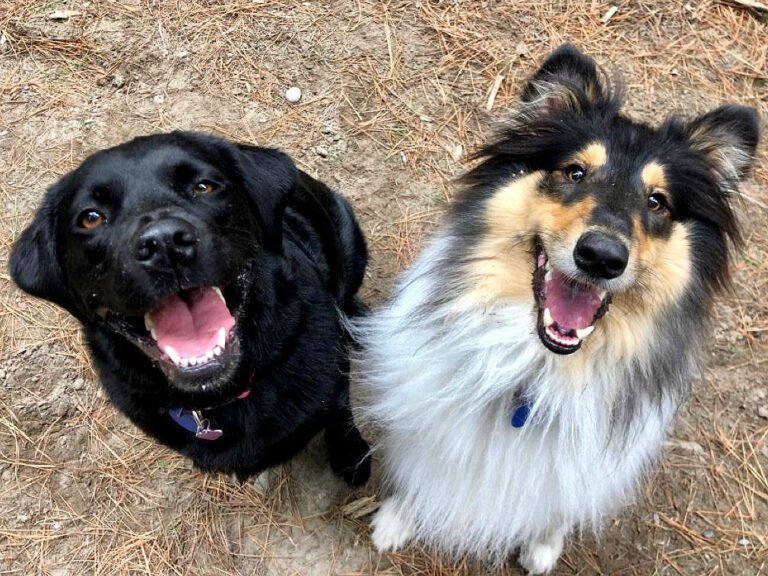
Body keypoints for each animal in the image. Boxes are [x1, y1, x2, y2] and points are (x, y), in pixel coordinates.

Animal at [11, 132, 372, 486]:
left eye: (204, 186)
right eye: (90, 218)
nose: (164, 243)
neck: (221, 397)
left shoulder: (335, 379)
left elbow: (341, 412)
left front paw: (352, 457)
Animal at [352, 44, 756, 572]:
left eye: (657, 202)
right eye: (574, 172)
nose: (601, 256)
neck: (540, 370)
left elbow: (558, 501)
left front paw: (544, 545)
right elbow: (429, 461)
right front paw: (398, 519)